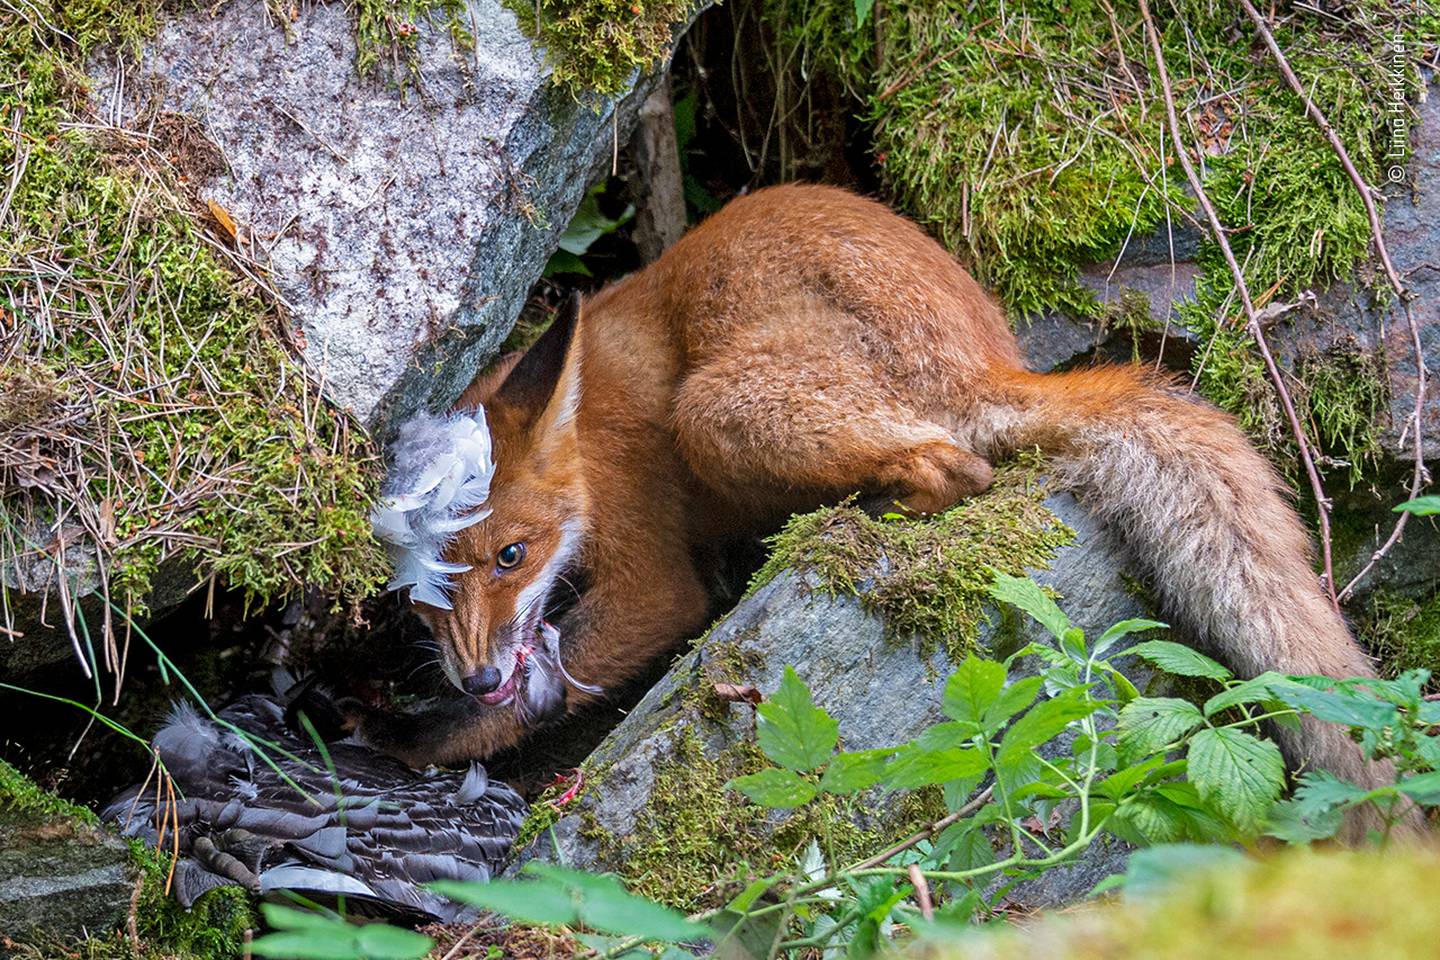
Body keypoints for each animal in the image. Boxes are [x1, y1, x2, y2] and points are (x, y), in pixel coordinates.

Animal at [365, 182, 1376, 794]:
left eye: (511, 554)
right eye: (418, 596)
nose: (479, 672)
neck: (590, 440)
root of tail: (989, 359)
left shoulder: (655, 578)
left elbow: (544, 686)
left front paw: (414, 737)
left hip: (718, 410)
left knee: (956, 466)